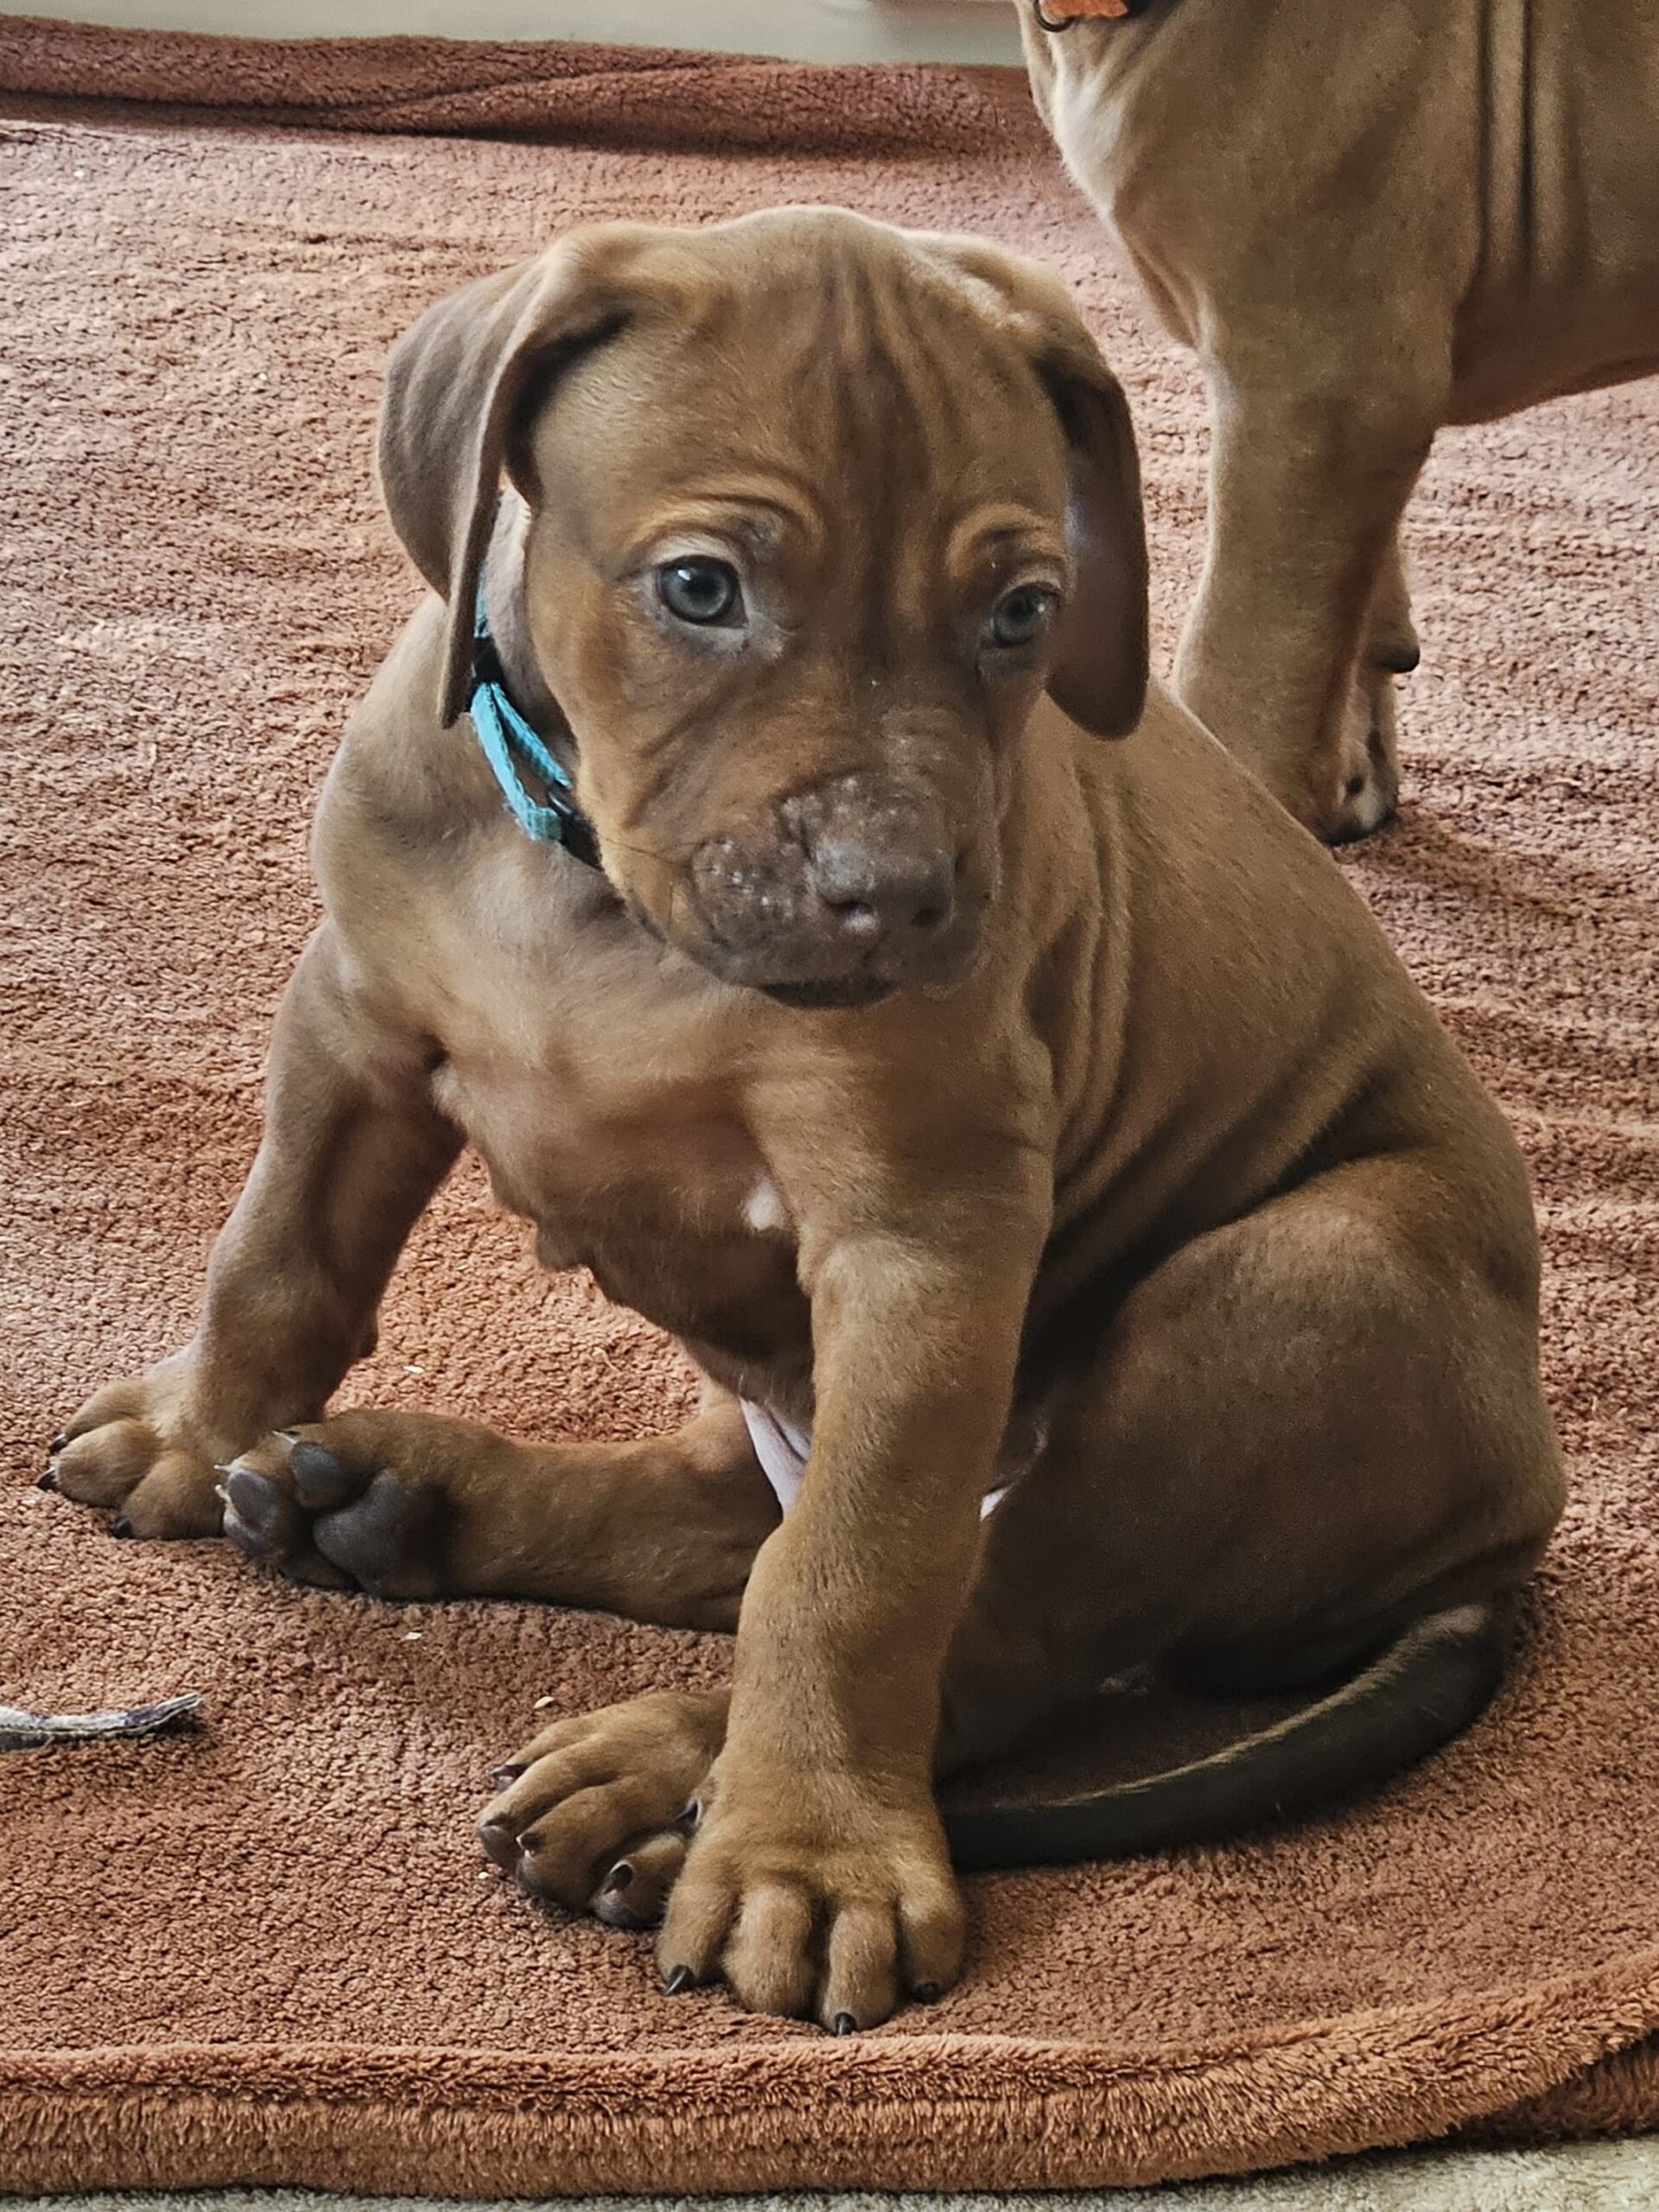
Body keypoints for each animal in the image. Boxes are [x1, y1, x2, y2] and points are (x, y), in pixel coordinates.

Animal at [44, 210, 1564, 2031]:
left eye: (1025, 612)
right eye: (703, 589)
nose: (898, 899)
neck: (596, 897)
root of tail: (1505, 1544)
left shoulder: (926, 1233)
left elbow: (854, 1577)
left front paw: (807, 1858)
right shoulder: (353, 1023)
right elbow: (278, 1257)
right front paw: (199, 1432)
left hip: (1290, 1289)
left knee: (992, 1618)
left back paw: (664, 1773)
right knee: (728, 1516)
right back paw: (402, 1504)